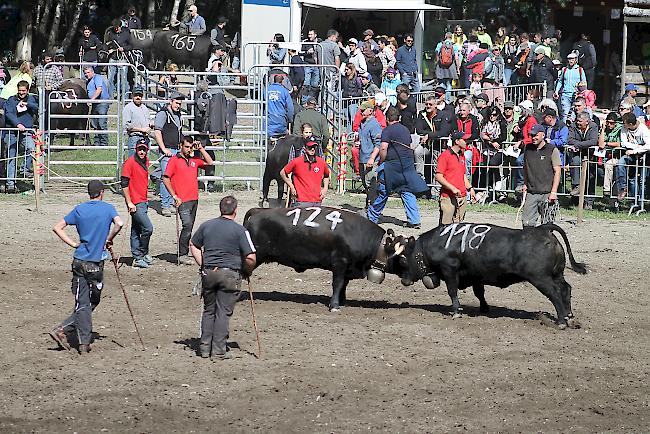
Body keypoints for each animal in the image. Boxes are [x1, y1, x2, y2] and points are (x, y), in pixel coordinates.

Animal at [244, 206, 402, 310]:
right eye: (404, 256)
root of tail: (259, 211)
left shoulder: (348, 268)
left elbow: (344, 285)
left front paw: (342, 301)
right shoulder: (340, 263)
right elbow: (337, 283)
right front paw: (335, 305)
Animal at [390, 224, 588, 328]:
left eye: (403, 261)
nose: (403, 280)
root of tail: (544, 229)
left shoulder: (449, 270)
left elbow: (453, 292)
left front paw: (456, 311)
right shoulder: (476, 275)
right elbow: (480, 293)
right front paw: (484, 308)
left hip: (541, 278)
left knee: (555, 293)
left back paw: (561, 320)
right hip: (556, 274)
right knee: (565, 289)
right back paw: (569, 315)